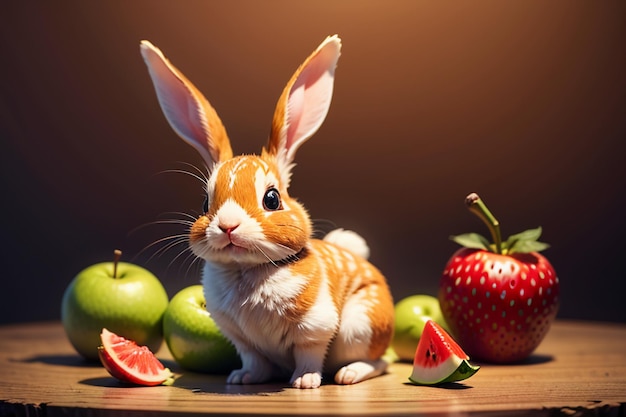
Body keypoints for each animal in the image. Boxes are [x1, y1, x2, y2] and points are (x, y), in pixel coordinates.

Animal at [141, 34, 392, 388]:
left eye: (272, 199)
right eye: (205, 203)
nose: (227, 225)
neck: (248, 270)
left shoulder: (314, 328)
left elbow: (309, 354)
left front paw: (305, 382)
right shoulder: (242, 339)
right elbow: (254, 359)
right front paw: (241, 378)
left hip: (359, 327)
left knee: (379, 361)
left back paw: (349, 374)